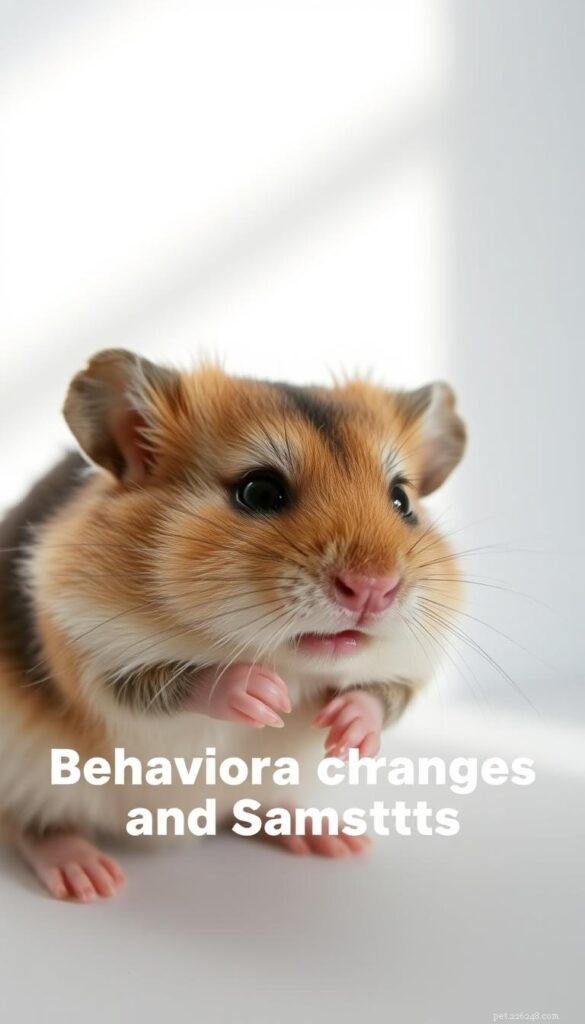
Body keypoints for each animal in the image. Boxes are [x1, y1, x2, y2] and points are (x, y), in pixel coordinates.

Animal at [0, 349, 465, 900]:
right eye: (259, 491)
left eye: (402, 501)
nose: (374, 588)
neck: (291, 661)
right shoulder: (91, 655)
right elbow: (185, 680)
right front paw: (264, 695)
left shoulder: (410, 666)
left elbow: (378, 696)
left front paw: (346, 728)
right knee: (33, 826)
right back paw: (88, 877)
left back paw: (329, 838)